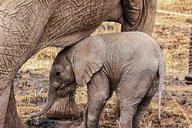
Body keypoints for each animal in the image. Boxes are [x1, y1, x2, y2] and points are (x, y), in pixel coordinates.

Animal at [32, 31, 164, 127]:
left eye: (58, 73)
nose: (31, 116)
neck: (76, 49)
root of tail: (159, 57)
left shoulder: (99, 70)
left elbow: (100, 96)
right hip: (150, 77)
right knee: (142, 106)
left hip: (137, 73)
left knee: (126, 103)